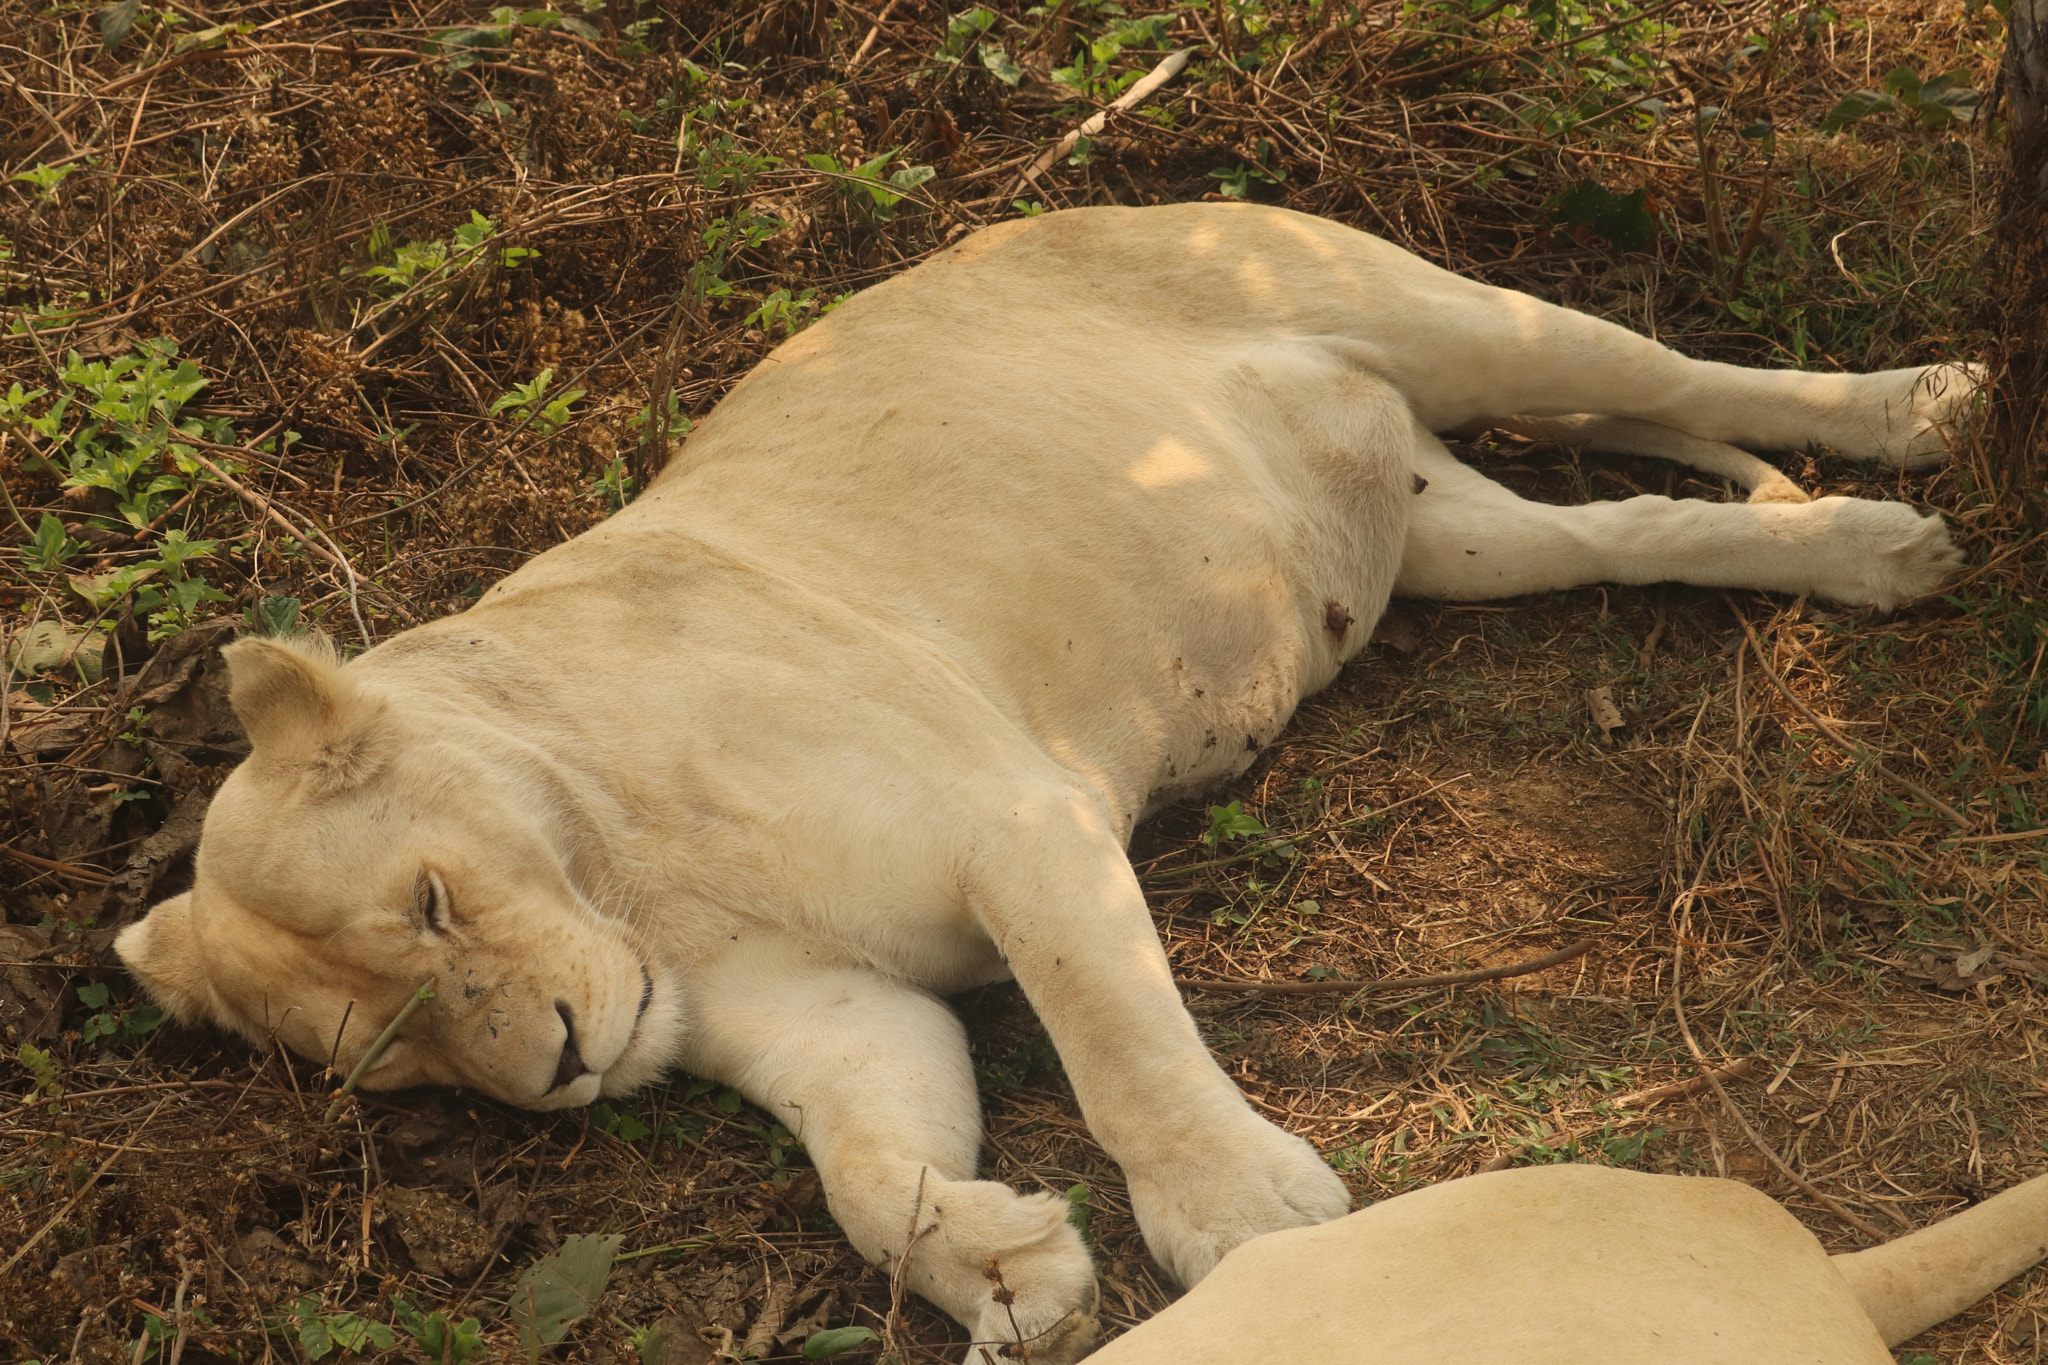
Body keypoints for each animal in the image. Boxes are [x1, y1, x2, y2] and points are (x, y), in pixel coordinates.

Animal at [116, 204, 1975, 1361]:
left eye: (432, 907)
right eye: (397, 1062)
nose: (565, 1071)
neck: (628, 879)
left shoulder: (1017, 824)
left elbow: (1113, 1046)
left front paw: (1239, 1216)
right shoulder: (831, 1015)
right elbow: (867, 1170)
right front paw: (1004, 1266)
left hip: (1448, 318)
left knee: (1676, 375)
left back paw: (1923, 416)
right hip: (1449, 538)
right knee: (1632, 529)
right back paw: (1865, 556)